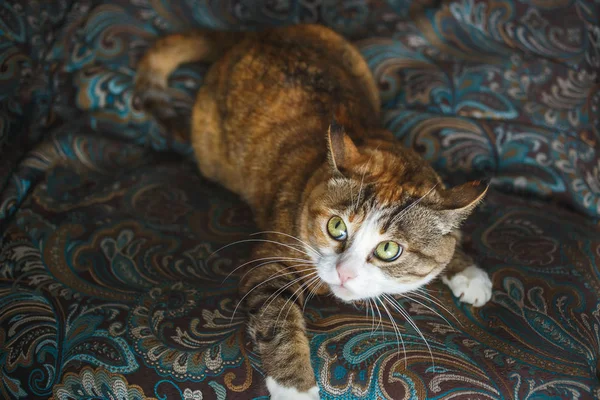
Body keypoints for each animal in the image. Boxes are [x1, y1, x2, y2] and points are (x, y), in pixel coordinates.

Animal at [136, 25, 492, 400]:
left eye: (388, 249)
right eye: (336, 227)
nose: (344, 273)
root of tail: (248, 36)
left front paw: (468, 272)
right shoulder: (271, 258)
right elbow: (278, 320)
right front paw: (295, 387)